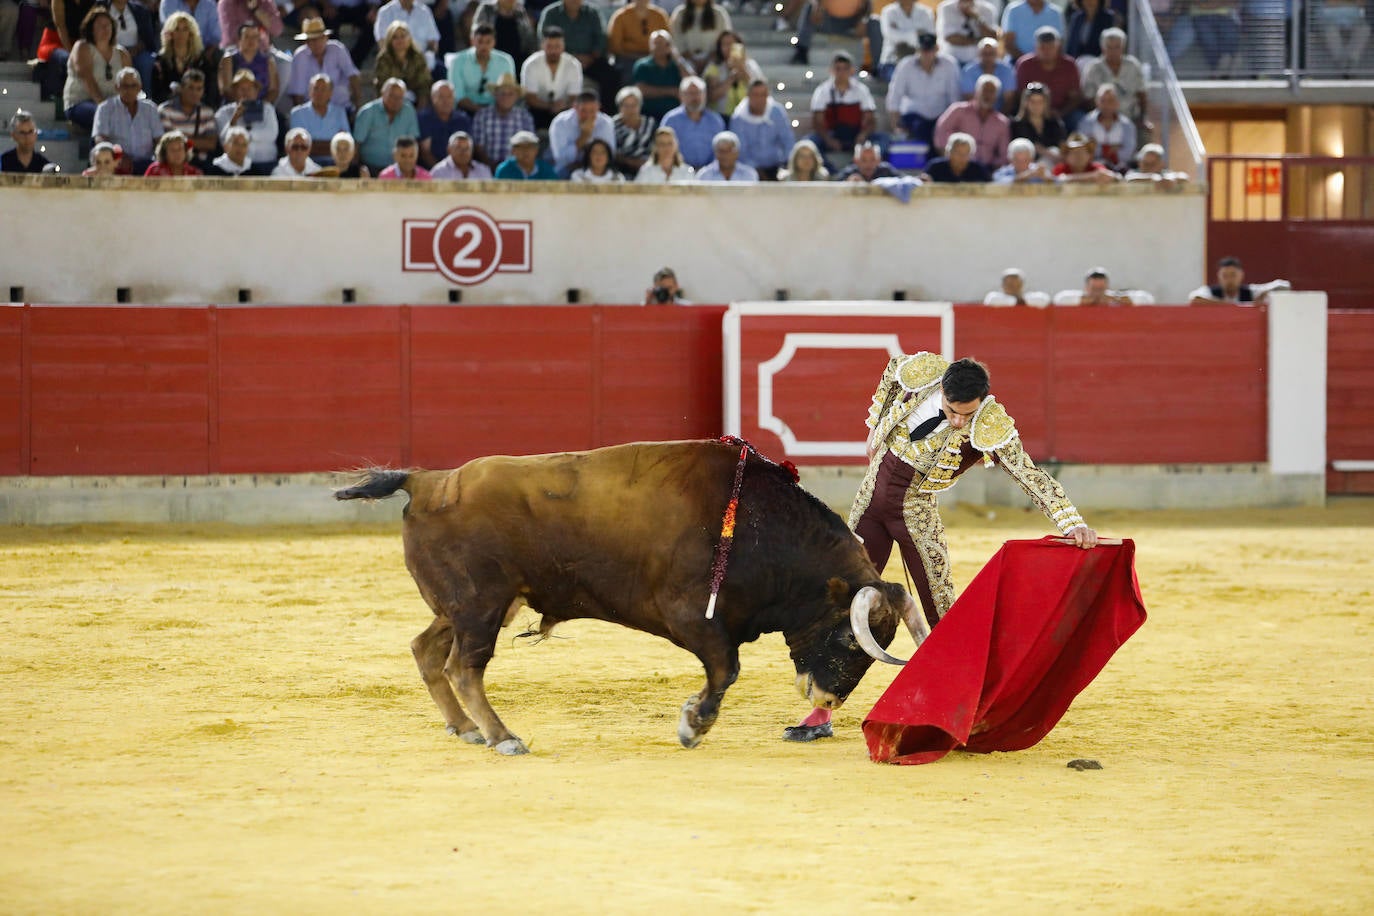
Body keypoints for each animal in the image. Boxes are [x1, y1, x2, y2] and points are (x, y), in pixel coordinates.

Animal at [336, 439, 928, 758]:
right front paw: (693, 724)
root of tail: (426, 480)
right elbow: (725, 668)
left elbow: (725, 668)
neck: (762, 531)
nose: (828, 701)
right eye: (849, 639)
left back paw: (464, 728)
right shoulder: (691, 617)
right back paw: (503, 736)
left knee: (426, 650)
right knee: (463, 667)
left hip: (468, 607)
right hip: (480, 605)